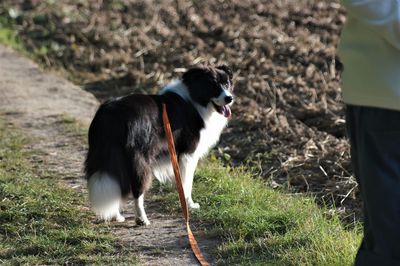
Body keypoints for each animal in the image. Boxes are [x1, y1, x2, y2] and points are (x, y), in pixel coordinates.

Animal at [85, 64, 234, 224]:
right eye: (212, 85)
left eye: (226, 84)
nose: (229, 98)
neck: (194, 99)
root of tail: (111, 114)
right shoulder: (188, 154)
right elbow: (187, 184)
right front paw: (190, 205)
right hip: (138, 159)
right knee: (137, 189)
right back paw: (142, 218)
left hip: (111, 155)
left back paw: (117, 216)